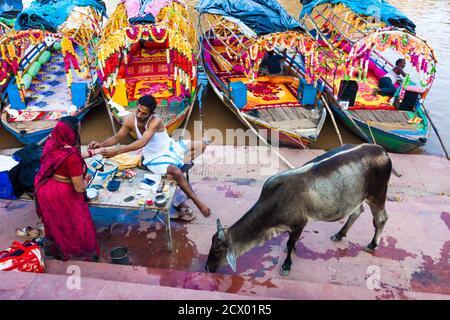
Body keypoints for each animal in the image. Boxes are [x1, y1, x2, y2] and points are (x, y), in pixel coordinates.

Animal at [206, 144, 392, 276]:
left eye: (216, 251)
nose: (207, 267)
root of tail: (381, 150)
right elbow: (291, 242)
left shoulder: (299, 223)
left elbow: (290, 243)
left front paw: (287, 265)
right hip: (356, 197)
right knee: (356, 212)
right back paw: (339, 234)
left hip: (378, 194)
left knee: (381, 219)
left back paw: (372, 244)